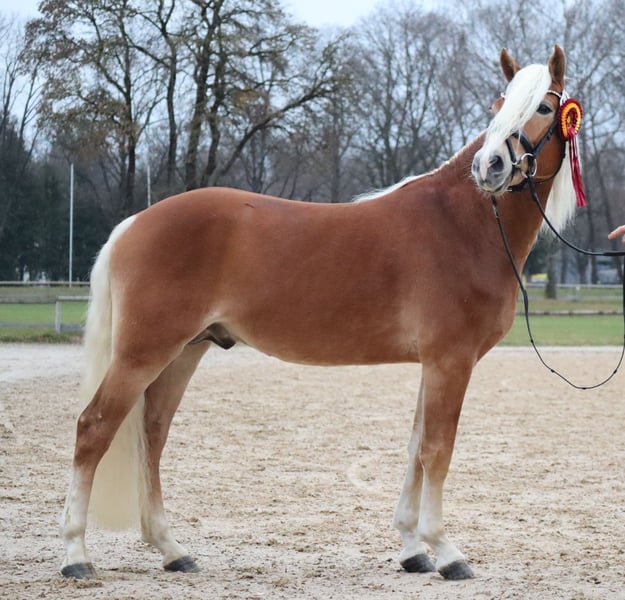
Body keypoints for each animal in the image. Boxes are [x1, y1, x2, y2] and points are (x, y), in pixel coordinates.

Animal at [60, 45, 578, 582]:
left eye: (543, 107)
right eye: (498, 106)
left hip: (183, 353)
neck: (463, 223)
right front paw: (447, 551)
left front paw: (412, 548)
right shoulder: (450, 362)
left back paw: (171, 549)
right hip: (143, 354)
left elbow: (416, 448)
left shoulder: (434, 364)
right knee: (94, 428)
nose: (489, 165)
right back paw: (76, 554)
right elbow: (437, 451)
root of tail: (134, 223)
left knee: (152, 435)